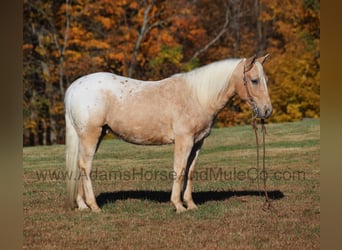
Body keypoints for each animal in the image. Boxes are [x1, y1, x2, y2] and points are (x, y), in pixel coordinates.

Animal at [64, 54, 272, 213]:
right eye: (254, 80)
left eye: (265, 80)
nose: (267, 110)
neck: (197, 97)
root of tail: (74, 87)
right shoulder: (184, 141)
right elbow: (179, 170)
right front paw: (178, 206)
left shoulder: (197, 143)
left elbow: (190, 172)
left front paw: (191, 205)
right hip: (91, 135)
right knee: (86, 166)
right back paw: (94, 206)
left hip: (93, 136)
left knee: (80, 166)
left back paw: (83, 205)